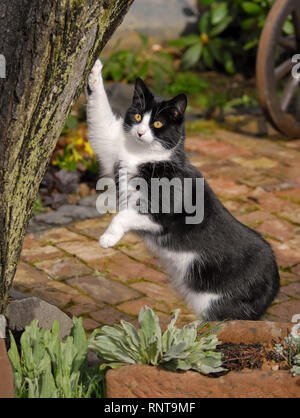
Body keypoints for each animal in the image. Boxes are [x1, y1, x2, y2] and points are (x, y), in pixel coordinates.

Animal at [85, 58, 280, 320]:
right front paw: (96, 73)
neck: (141, 156)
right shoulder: (113, 150)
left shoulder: (162, 213)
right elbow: (101, 123)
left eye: (157, 123)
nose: (140, 132)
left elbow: (123, 215)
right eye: (137, 115)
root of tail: (276, 281)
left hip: (220, 306)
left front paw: (107, 238)